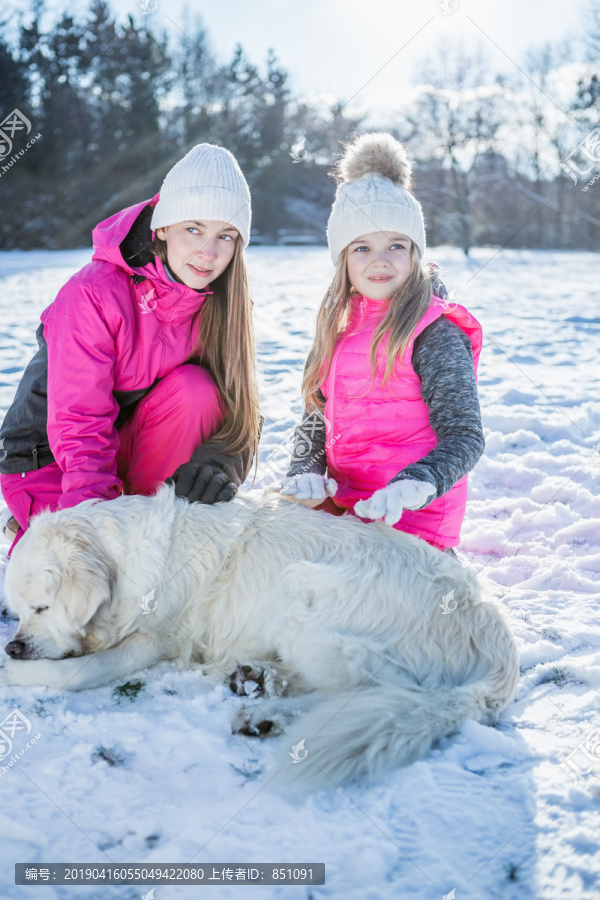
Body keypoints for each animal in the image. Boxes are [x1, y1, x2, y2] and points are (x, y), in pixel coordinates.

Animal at [0, 486, 516, 788]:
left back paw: (266, 712)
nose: (14, 645)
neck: (127, 561)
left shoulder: (155, 640)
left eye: (43, 607)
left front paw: (14, 671)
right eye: (18, 612)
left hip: (304, 594)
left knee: (375, 691)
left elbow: (79, 671)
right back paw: (259, 685)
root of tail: (496, 643)